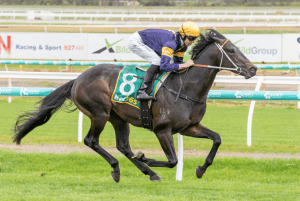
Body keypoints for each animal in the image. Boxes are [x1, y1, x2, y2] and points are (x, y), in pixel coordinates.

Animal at [12, 29, 256, 182]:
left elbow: (217, 139)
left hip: (118, 118)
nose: (253, 69)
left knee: (123, 146)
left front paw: (201, 169)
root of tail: (78, 79)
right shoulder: (162, 130)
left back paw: (149, 173)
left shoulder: (189, 127)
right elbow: (173, 161)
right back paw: (119, 168)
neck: (185, 88)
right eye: (232, 51)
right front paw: (146, 157)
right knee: (91, 141)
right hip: (99, 113)